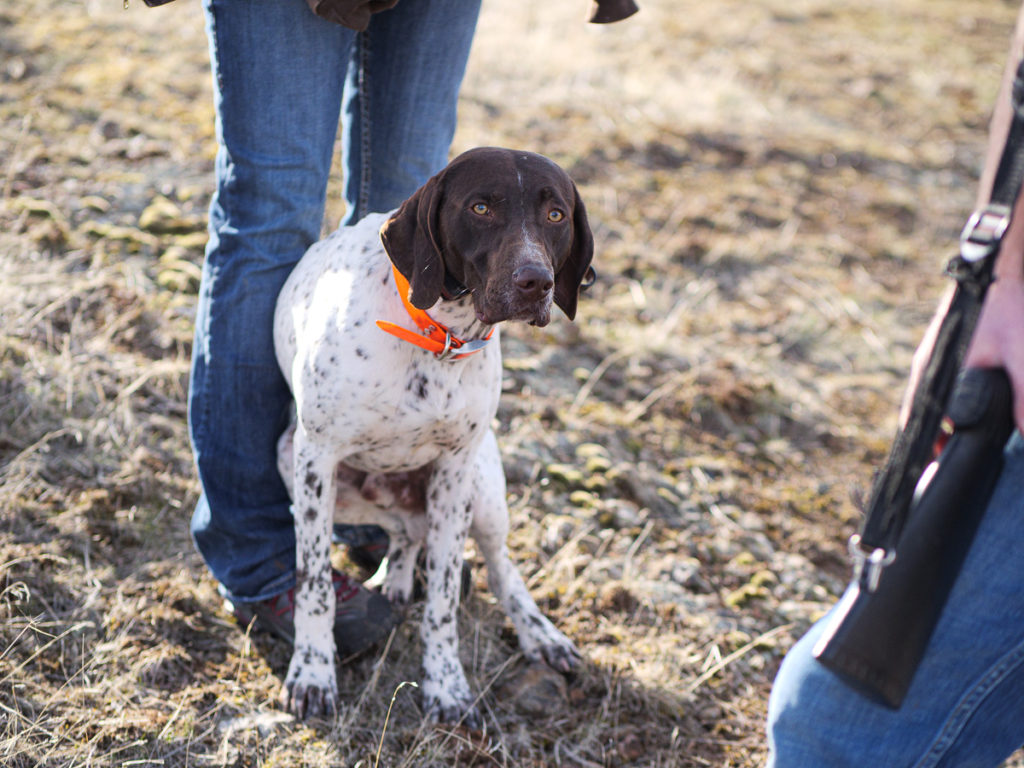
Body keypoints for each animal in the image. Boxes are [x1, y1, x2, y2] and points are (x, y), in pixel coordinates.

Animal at [274, 145, 593, 729]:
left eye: (556, 215)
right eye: (481, 207)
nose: (535, 281)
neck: (438, 334)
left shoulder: (453, 473)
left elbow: (443, 599)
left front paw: (446, 685)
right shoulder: (315, 460)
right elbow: (314, 586)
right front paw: (311, 673)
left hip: (481, 493)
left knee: (502, 567)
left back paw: (540, 635)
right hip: (300, 465)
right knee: (403, 532)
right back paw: (394, 581)